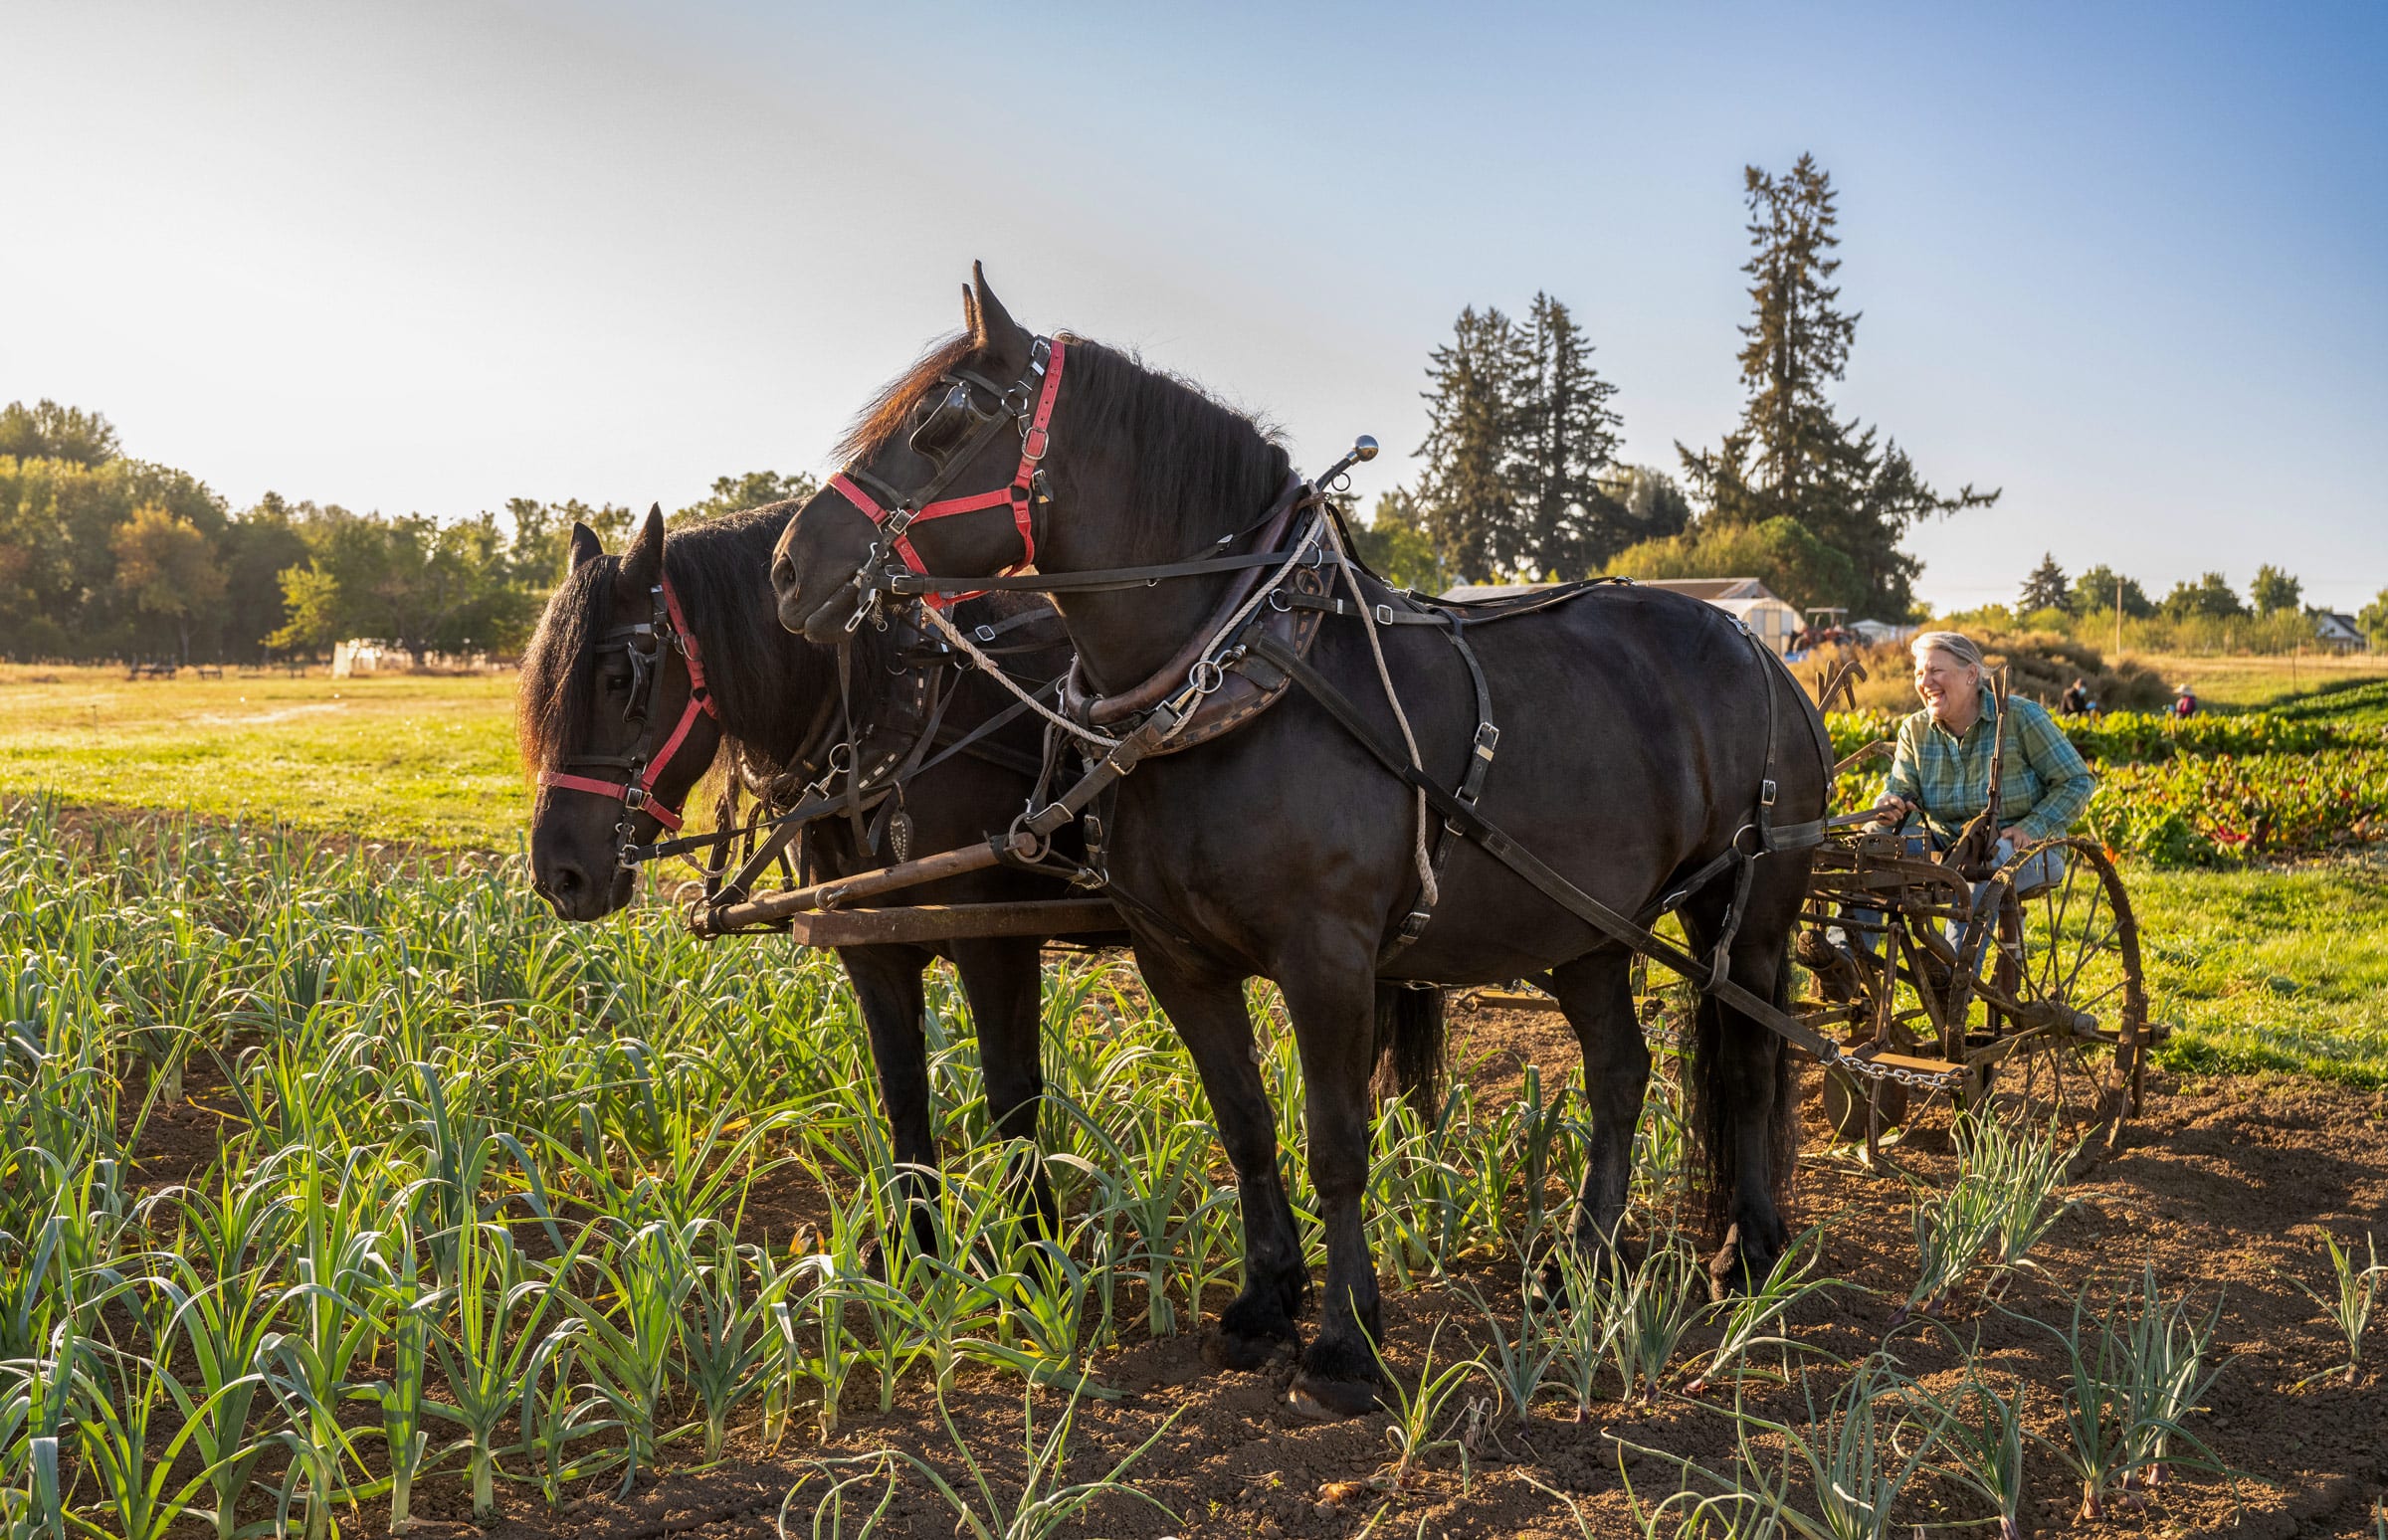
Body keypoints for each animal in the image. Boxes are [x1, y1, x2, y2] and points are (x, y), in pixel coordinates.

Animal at [522, 501, 1094, 1242]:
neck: (899, 718)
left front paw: (1041, 1262)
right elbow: (904, 1091)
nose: (557, 876)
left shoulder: (996, 939)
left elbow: (1013, 1100)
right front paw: (917, 1257)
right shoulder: (869, 946)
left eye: (623, 682)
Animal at [764, 267, 1824, 1413]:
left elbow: (1337, 1143)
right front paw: (1265, 1298)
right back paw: (1580, 1260)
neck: (1237, 680)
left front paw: (1348, 1342)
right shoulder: (1176, 958)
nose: (787, 569)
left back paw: (1746, 1249)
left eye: (944, 419)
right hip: (1582, 923)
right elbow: (1245, 1123)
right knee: (1621, 1073)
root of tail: (1767, 656)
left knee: (1753, 1064)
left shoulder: (1329, 958)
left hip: (1749, 915)